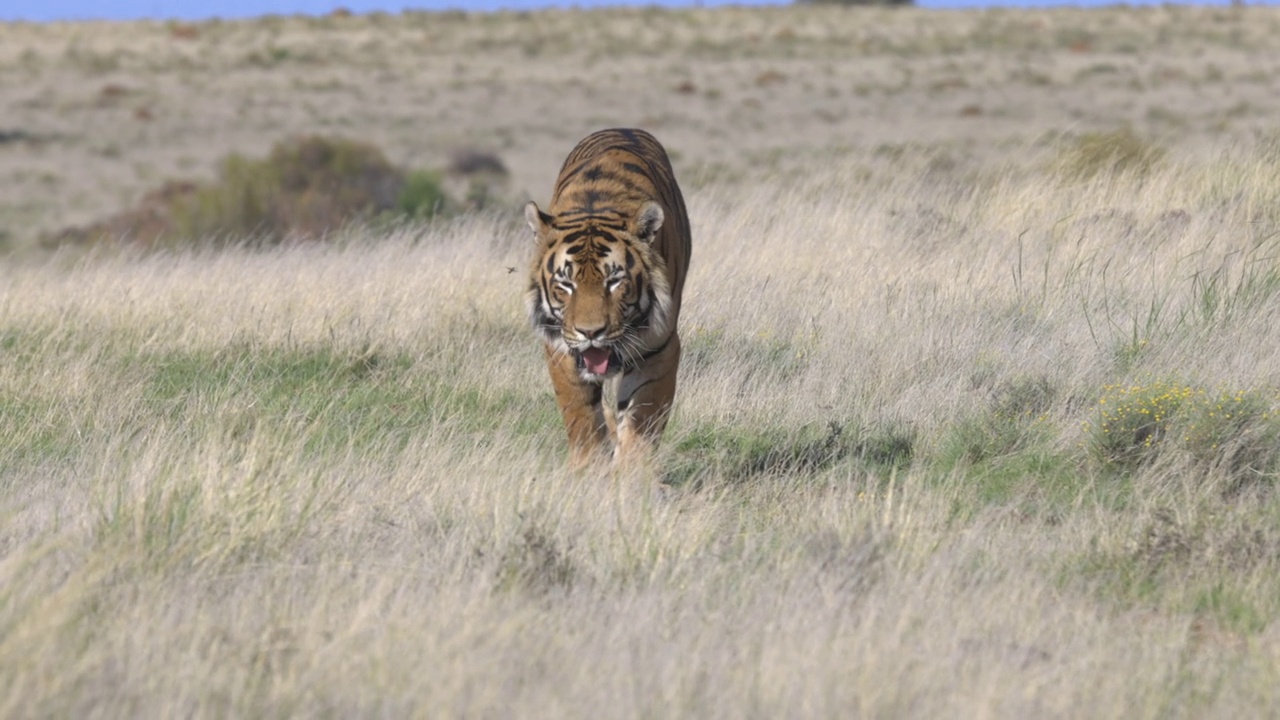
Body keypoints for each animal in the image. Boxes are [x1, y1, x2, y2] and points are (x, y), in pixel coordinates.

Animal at [524, 127, 696, 466]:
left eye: (614, 282)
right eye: (566, 284)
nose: (591, 333)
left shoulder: (658, 349)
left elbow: (641, 425)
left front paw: (631, 474)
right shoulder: (561, 348)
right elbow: (582, 418)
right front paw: (590, 468)